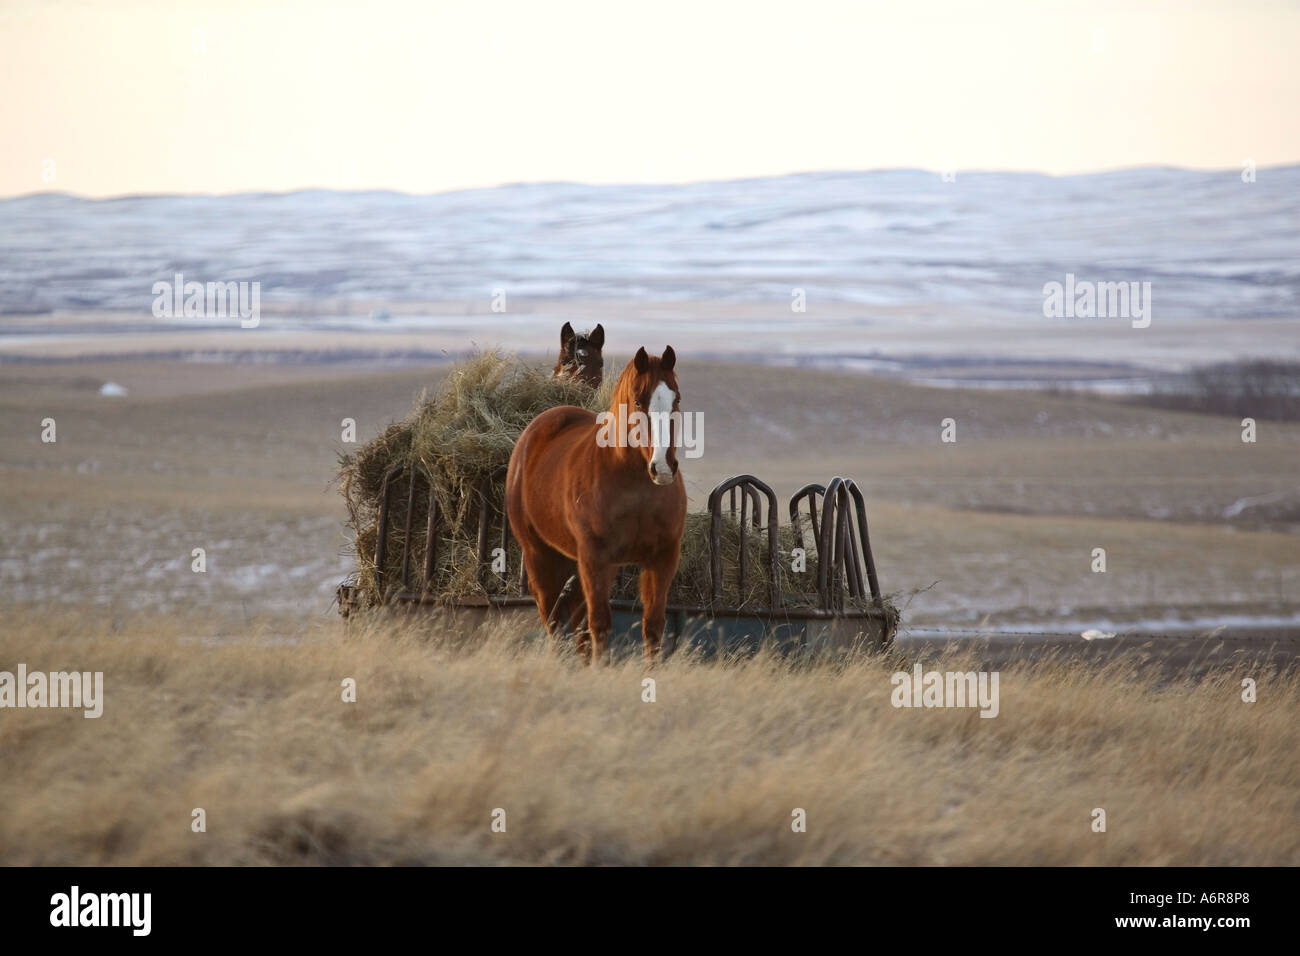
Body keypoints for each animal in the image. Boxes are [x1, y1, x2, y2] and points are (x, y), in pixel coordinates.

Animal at [506, 345, 691, 665]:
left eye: (676, 398)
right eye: (639, 400)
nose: (664, 468)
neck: (635, 489)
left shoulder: (663, 558)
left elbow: (653, 626)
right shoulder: (596, 558)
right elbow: (600, 624)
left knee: (576, 620)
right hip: (539, 555)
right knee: (553, 619)